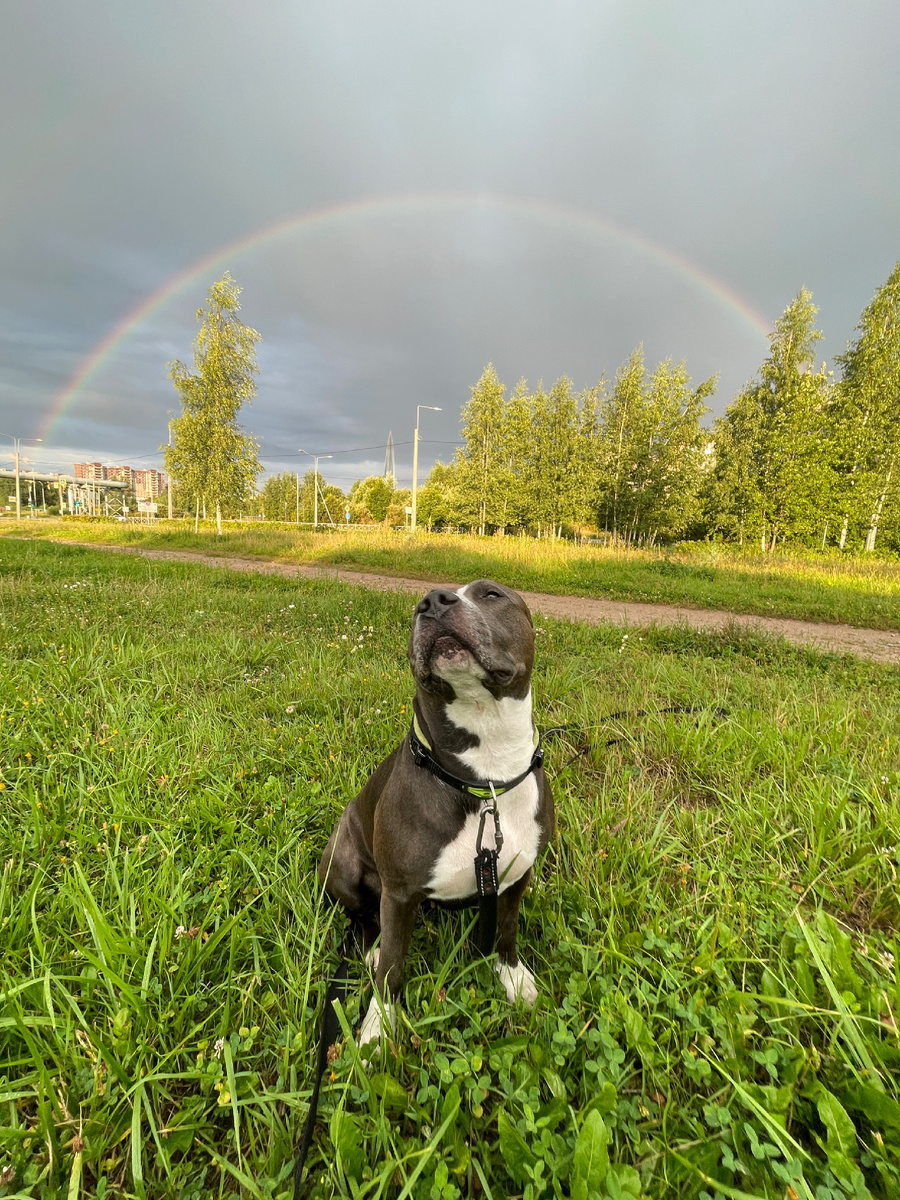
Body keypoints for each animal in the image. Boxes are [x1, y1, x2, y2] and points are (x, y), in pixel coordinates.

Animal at [316, 580, 556, 1051]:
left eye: (491, 594)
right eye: (416, 608)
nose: (433, 602)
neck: (486, 778)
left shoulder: (516, 877)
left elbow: (507, 930)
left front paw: (513, 978)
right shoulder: (399, 894)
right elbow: (392, 968)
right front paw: (377, 1030)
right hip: (343, 865)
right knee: (362, 919)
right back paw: (370, 949)